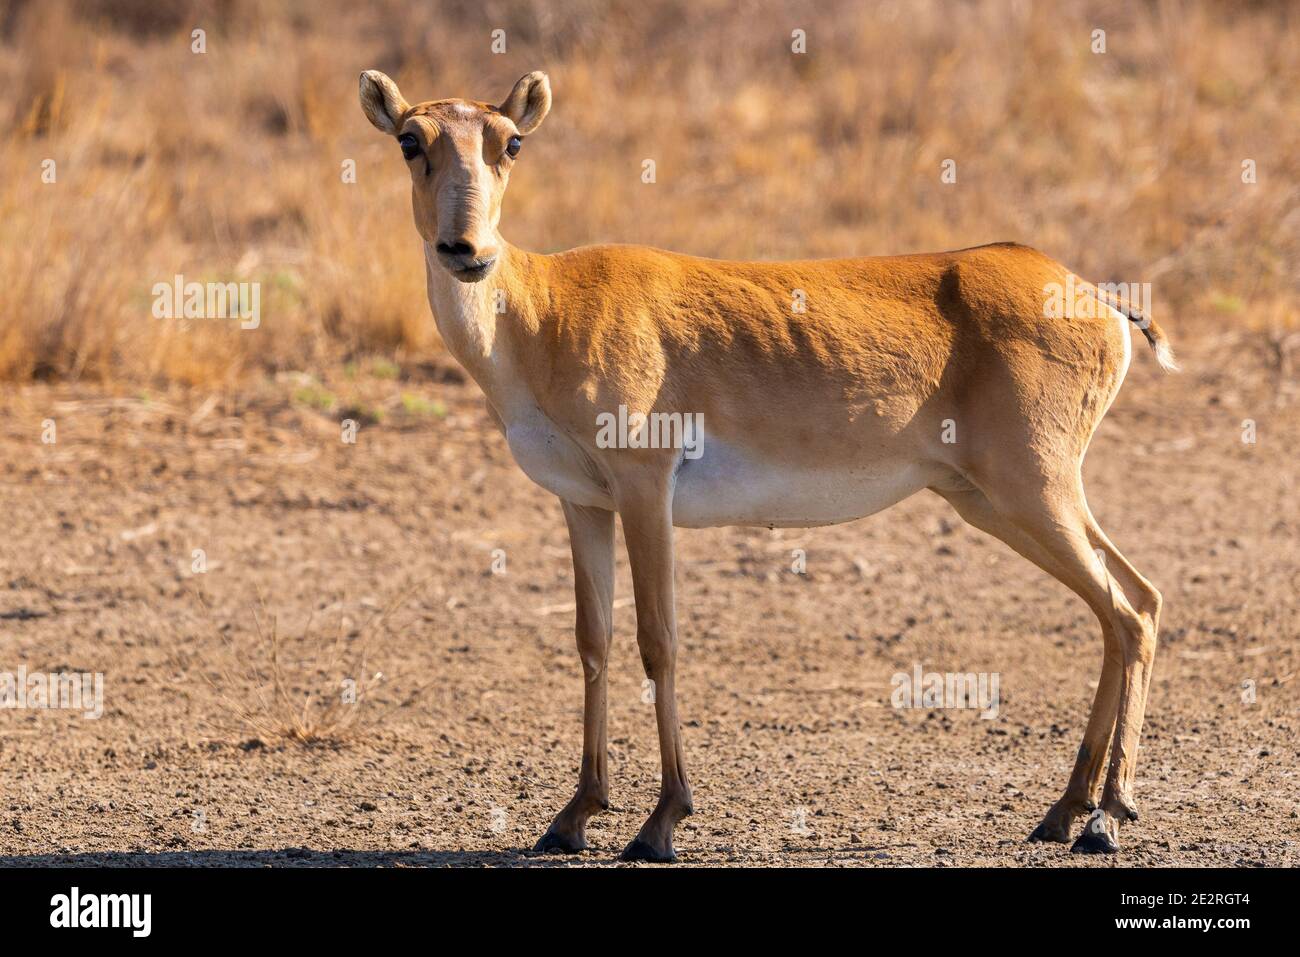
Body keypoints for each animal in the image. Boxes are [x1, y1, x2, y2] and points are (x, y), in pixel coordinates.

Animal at [359, 69, 1176, 862]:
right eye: (410, 138)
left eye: (512, 141)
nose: (467, 251)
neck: (543, 310)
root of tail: (1098, 299)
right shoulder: (583, 502)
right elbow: (594, 640)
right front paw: (573, 815)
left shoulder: (645, 490)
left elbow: (659, 640)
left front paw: (661, 821)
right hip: (994, 500)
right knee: (1126, 603)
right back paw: (1066, 812)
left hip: (1033, 490)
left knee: (1131, 608)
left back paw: (1107, 816)